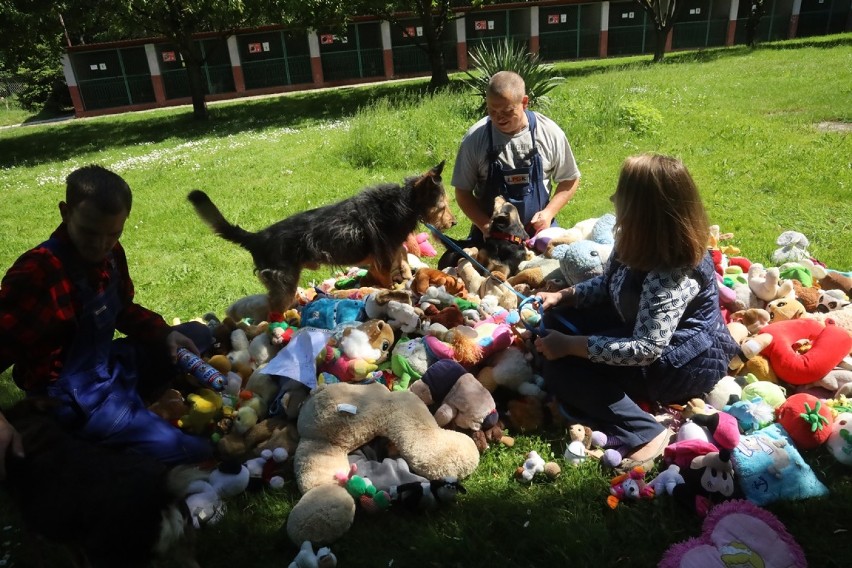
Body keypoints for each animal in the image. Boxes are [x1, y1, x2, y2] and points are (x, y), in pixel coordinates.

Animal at [186, 162, 452, 312]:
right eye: (442, 207)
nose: (454, 222)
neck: (403, 203)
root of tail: (257, 238)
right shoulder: (383, 258)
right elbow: (387, 279)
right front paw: (391, 291)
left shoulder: (385, 253)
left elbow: (400, 256)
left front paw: (401, 275)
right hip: (284, 283)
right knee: (272, 313)